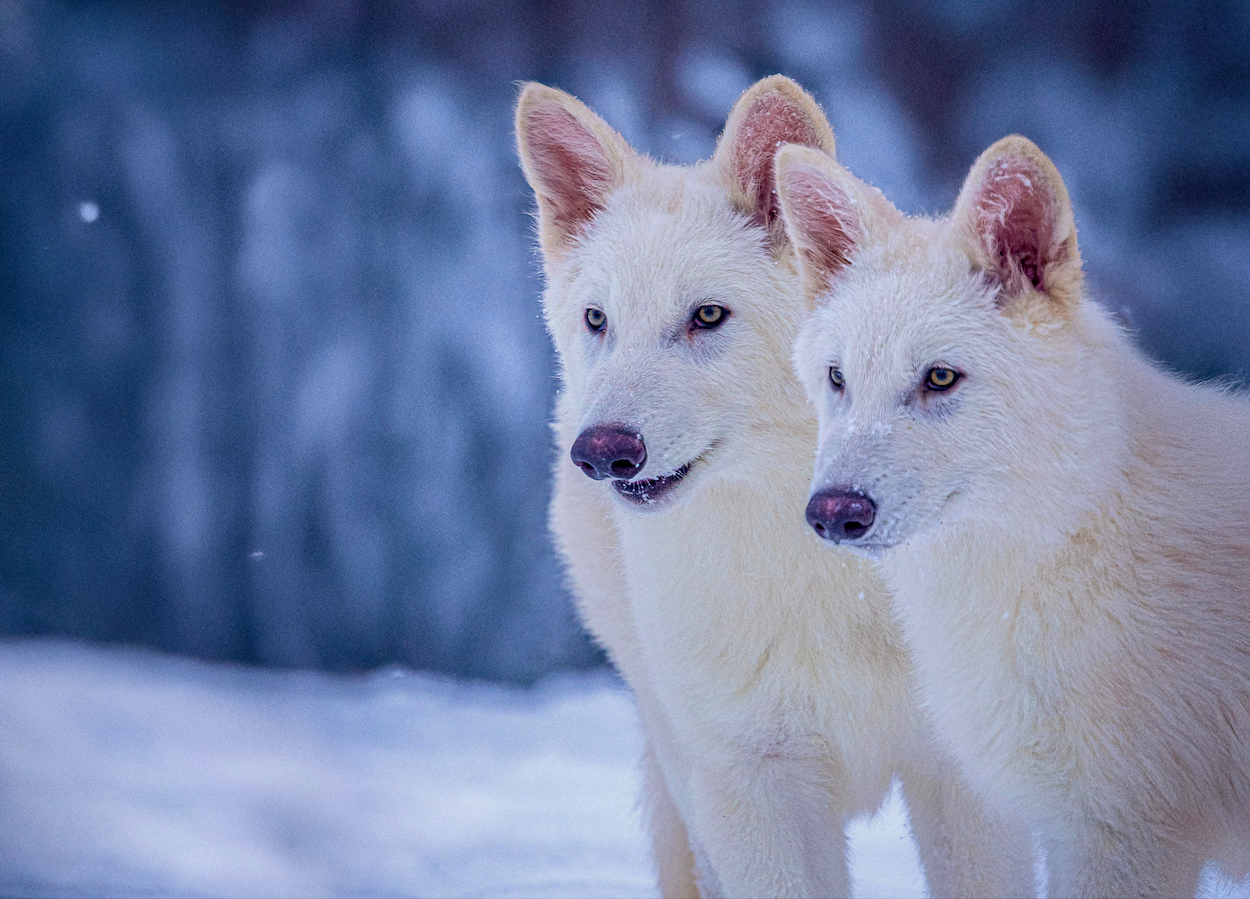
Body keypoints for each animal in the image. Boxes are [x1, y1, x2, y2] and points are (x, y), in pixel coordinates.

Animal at [515, 76, 1034, 897]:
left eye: (707, 316)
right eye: (598, 319)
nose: (601, 453)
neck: (825, 576)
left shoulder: (963, 778)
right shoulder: (751, 786)